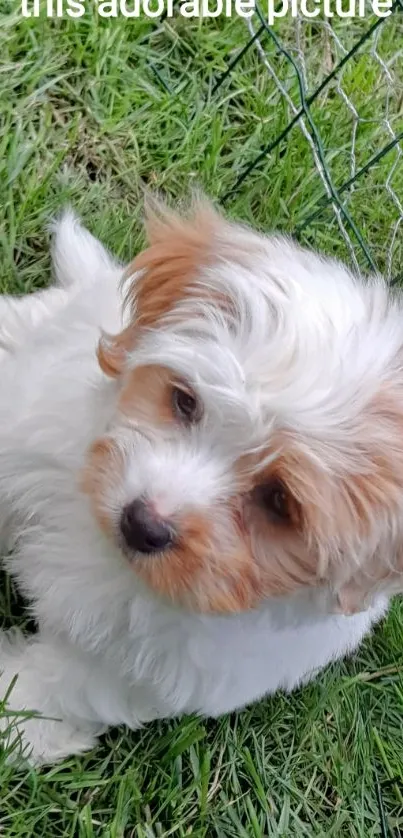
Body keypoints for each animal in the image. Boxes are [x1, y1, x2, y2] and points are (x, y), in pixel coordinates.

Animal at [0, 199, 402, 768]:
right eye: (185, 401)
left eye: (279, 501)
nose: (143, 525)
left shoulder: (148, 668)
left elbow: (65, 685)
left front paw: (13, 719)